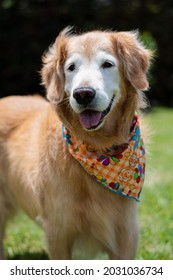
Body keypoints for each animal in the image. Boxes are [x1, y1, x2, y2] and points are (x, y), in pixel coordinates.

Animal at [0, 27, 151, 260]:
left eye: (107, 64)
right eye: (71, 67)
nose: (83, 94)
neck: (99, 148)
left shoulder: (126, 234)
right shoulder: (58, 232)